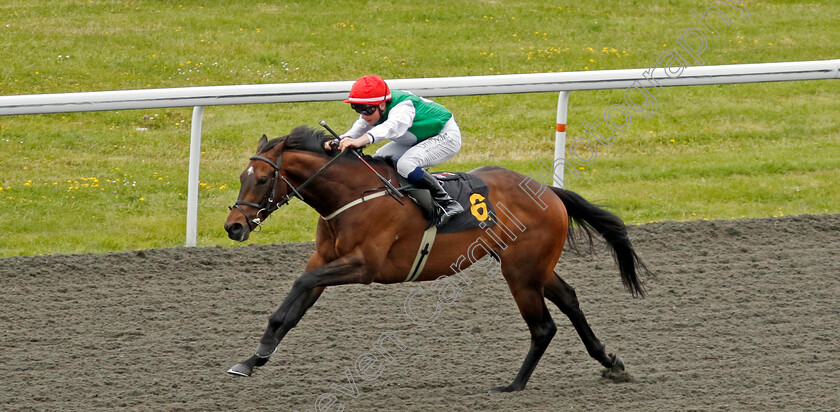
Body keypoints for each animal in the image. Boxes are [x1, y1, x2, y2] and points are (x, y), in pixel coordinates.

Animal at [223, 125, 648, 392]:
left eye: (262, 179)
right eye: (241, 177)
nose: (233, 226)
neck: (351, 196)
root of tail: (549, 191)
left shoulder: (363, 266)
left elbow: (300, 284)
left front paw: (259, 353)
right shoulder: (322, 261)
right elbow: (290, 310)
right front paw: (252, 359)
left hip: (521, 272)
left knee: (543, 326)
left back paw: (514, 385)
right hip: (533, 267)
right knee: (571, 300)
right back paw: (610, 362)